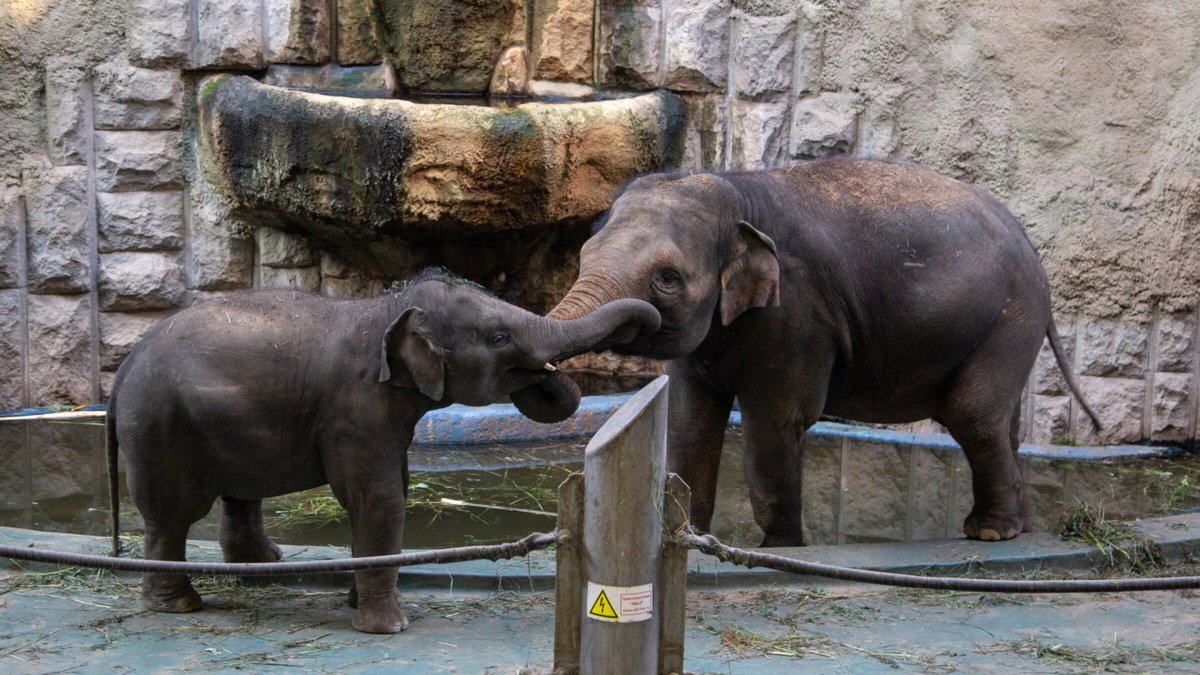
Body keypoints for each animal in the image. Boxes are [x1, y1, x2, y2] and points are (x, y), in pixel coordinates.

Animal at [110, 267, 657, 629]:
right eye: (499, 337)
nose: (646, 327)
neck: (386, 307)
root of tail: (123, 368)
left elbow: (392, 490)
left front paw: (357, 603)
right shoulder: (357, 409)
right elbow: (379, 500)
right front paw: (390, 626)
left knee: (237, 493)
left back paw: (263, 570)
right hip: (160, 428)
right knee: (171, 514)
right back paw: (178, 606)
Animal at [549, 158, 1099, 547]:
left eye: (667, 278)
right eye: (584, 256)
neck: (739, 190)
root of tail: (1029, 244)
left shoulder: (799, 314)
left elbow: (776, 422)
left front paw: (780, 551)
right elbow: (689, 421)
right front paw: (690, 537)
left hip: (1010, 317)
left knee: (975, 414)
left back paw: (990, 533)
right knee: (1003, 422)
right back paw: (1017, 528)